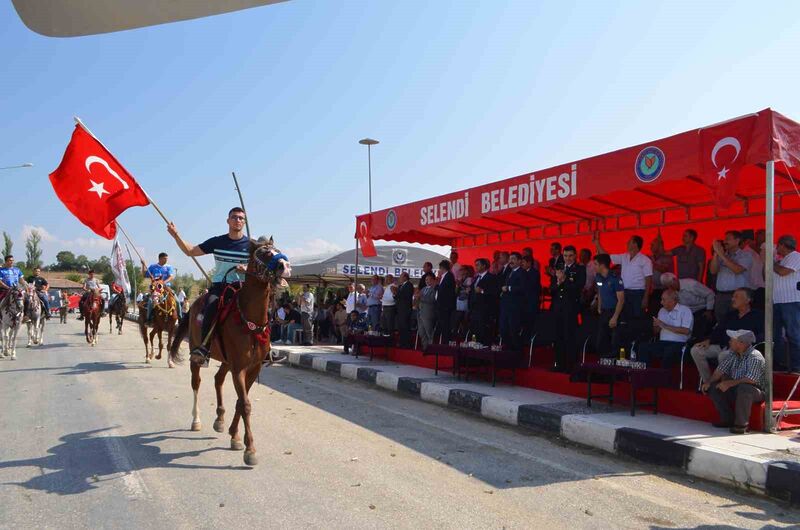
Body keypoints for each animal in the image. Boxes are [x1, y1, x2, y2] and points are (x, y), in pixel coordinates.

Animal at [170, 237, 290, 464]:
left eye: (277, 249)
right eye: (263, 253)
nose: (285, 266)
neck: (250, 321)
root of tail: (195, 302)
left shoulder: (252, 368)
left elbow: (241, 402)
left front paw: (235, 436)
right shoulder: (239, 369)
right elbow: (245, 404)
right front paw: (250, 449)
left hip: (226, 361)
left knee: (218, 380)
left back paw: (219, 418)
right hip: (197, 356)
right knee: (196, 383)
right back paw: (196, 420)